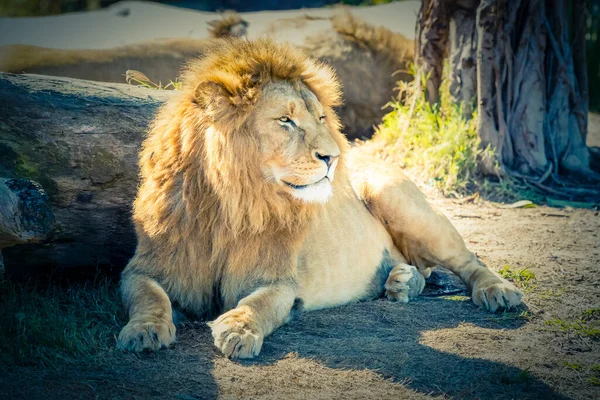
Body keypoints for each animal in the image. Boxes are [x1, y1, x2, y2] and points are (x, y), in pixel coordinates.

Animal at [117, 37, 520, 358]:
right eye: (286, 121)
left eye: (322, 118)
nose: (334, 157)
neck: (229, 205)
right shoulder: (147, 266)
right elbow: (149, 295)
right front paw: (143, 331)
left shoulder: (280, 280)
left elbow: (259, 304)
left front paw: (239, 329)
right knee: (420, 268)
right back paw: (402, 281)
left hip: (399, 202)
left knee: (468, 259)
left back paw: (498, 292)